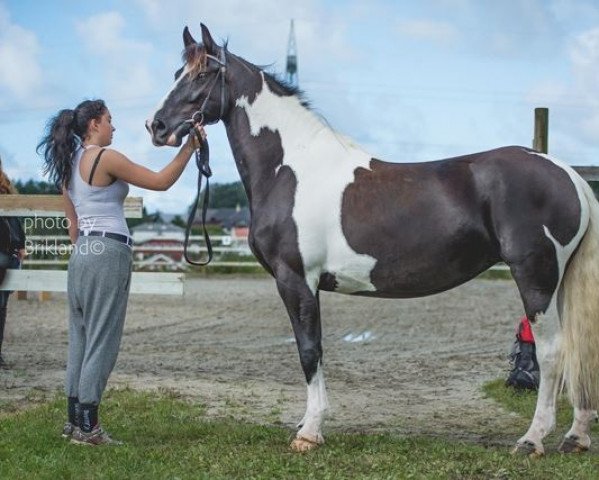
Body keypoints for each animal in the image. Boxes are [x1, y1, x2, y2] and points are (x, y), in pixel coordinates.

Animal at [145, 25, 599, 454]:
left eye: (202, 73)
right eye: (176, 73)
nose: (157, 126)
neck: (290, 168)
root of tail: (567, 174)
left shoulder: (296, 279)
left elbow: (309, 350)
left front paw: (309, 432)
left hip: (535, 277)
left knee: (552, 351)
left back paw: (532, 440)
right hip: (557, 281)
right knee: (579, 348)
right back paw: (575, 437)